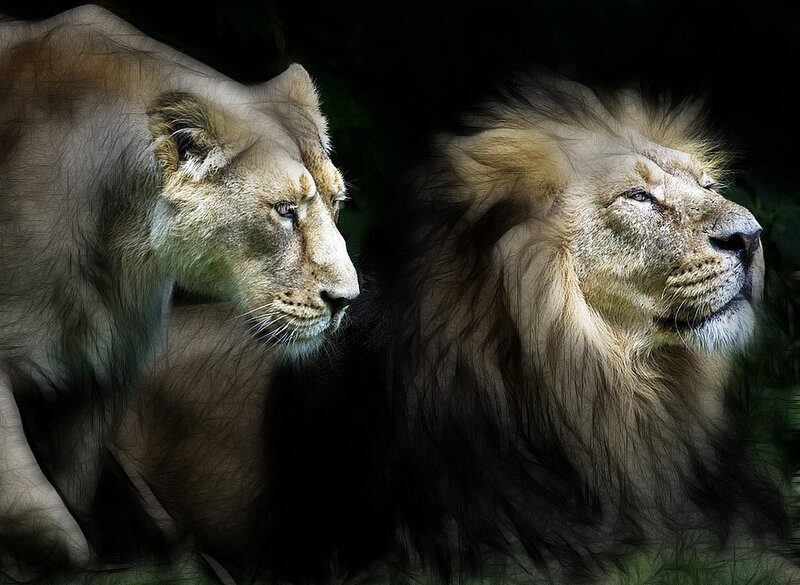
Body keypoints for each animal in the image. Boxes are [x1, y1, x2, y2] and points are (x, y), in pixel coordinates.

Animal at [0, 5, 358, 573]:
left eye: (337, 203)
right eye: (285, 211)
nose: (346, 301)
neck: (119, 241)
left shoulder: (102, 377)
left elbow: (72, 494)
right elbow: (49, 522)